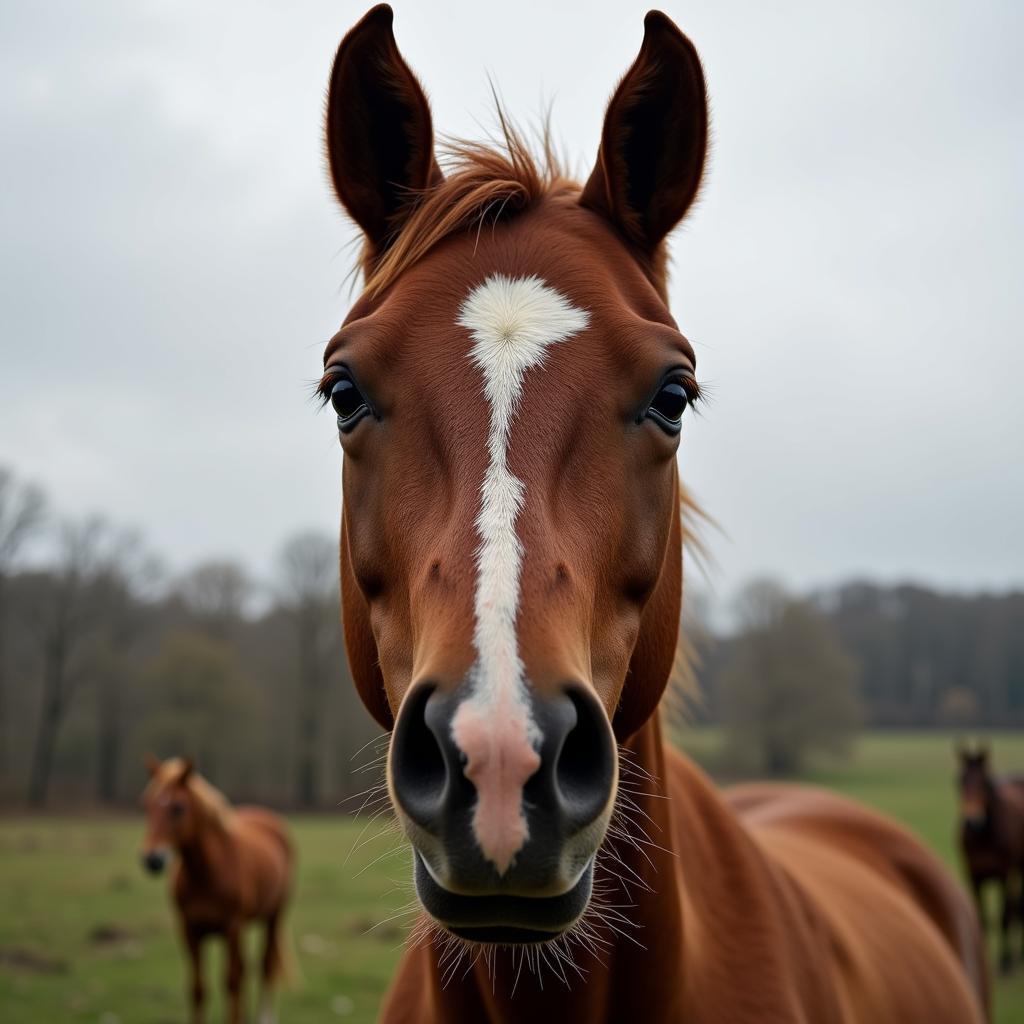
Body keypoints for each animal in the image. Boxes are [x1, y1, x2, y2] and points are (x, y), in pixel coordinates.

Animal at [141, 753, 292, 1024]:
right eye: (146, 805)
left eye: (178, 808)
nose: (152, 859)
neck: (207, 875)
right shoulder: (189, 930)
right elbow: (198, 989)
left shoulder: (231, 928)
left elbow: (231, 983)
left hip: (274, 915)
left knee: (265, 966)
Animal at [954, 745, 1024, 974]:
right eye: (959, 781)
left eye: (984, 782)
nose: (972, 822)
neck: (983, 836)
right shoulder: (973, 873)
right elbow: (982, 919)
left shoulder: (1005, 873)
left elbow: (1004, 916)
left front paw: (1005, 961)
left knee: (1016, 907)